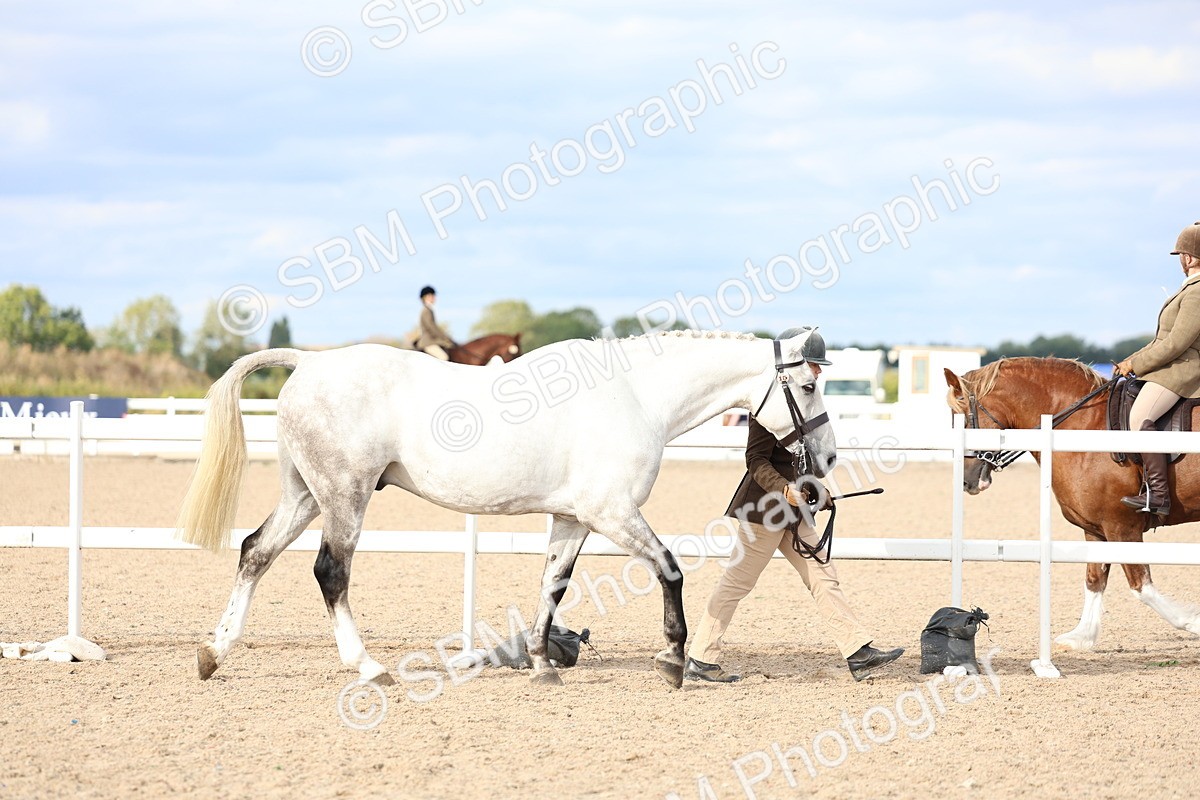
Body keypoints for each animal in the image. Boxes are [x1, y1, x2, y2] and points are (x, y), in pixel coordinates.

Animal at [176, 329, 837, 689]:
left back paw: (214, 653)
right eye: (807, 387)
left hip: (305, 496)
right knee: (330, 574)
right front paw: (673, 661)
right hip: (344, 497)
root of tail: (310, 363)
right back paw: (367, 667)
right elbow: (669, 570)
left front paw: (543, 664)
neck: (635, 397)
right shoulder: (612, 513)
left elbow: (553, 585)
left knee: (255, 552)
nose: (826, 459)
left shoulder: (573, 519)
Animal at [944, 357, 1200, 651]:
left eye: (964, 420)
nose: (967, 481)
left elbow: (1141, 585)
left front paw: (1193, 621)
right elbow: (1094, 580)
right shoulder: (1096, 529)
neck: (1083, 426)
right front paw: (1081, 636)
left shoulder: (1122, 527)